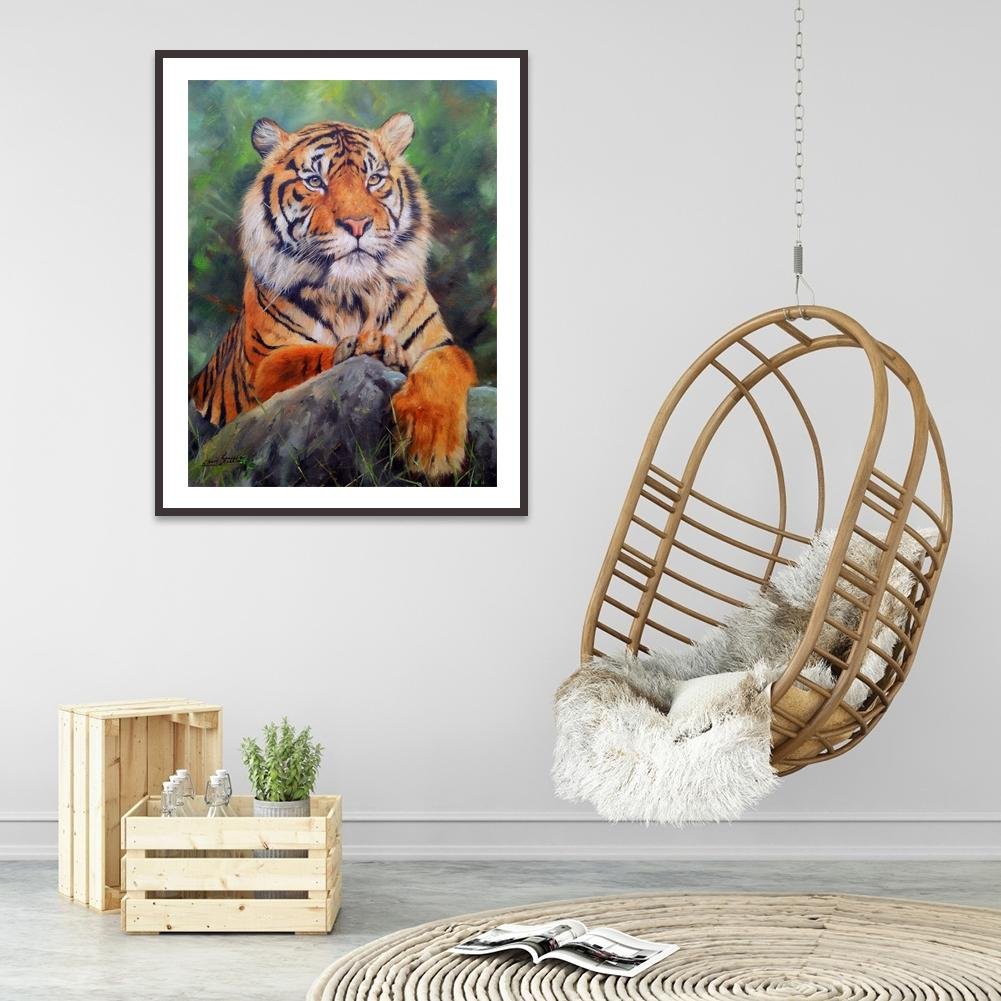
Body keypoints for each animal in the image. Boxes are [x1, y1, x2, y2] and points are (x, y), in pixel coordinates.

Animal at [189, 112, 477, 483]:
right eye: (314, 181)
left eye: (374, 179)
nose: (357, 225)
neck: (354, 293)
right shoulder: (264, 365)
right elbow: (305, 359)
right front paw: (370, 346)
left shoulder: (439, 346)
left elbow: (446, 367)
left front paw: (432, 451)